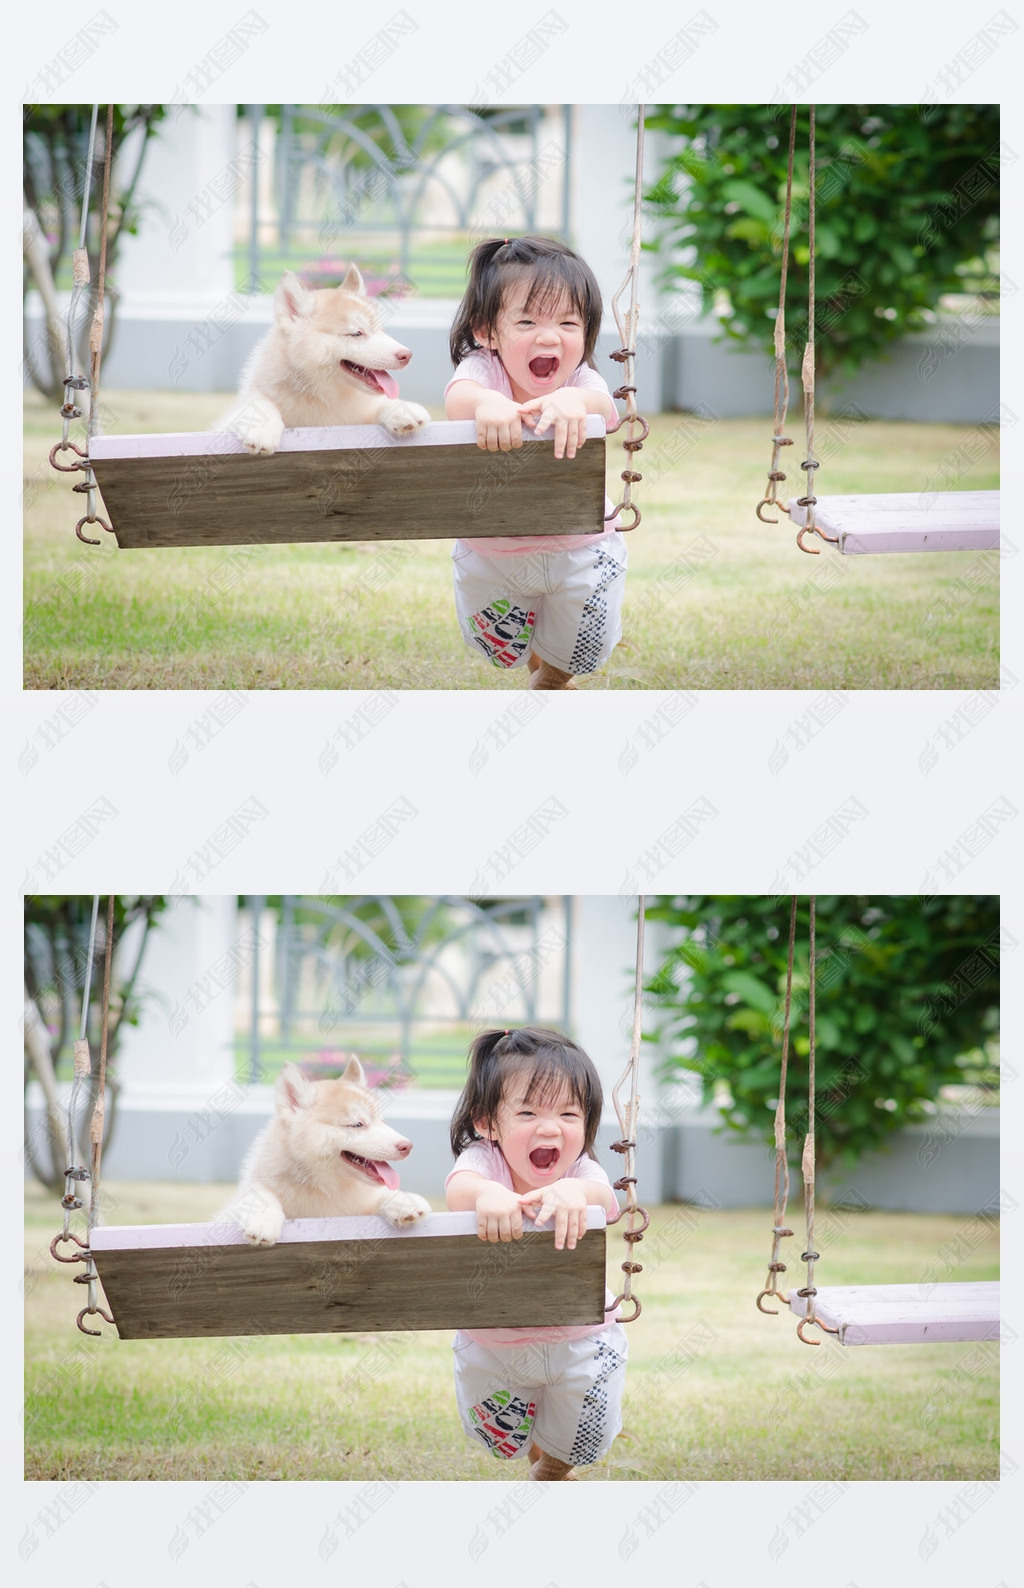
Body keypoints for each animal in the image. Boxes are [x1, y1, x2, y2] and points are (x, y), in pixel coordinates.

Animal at [222, 266, 428, 454]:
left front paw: (402, 408)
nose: (407, 355)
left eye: (381, 330)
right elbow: (257, 404)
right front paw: (262, 427)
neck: (324, 395)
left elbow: (380, 404)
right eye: (356, 333)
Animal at [225, 1060, 428, 1244]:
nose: (407, 1146)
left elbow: (380, 1195)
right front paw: (263, 1220)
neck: (326, 1187)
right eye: (357, 1124)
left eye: (382, 1122)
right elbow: (256, 1194)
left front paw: (403, 1200)